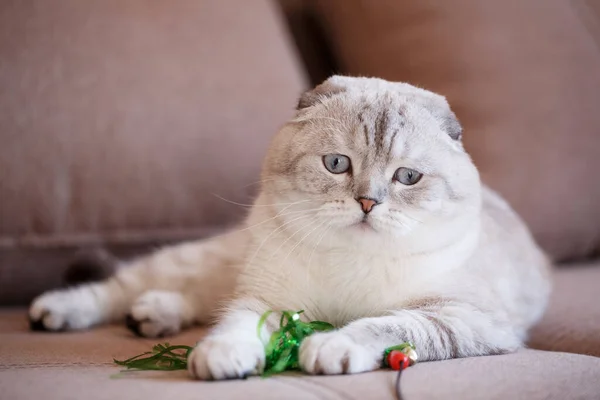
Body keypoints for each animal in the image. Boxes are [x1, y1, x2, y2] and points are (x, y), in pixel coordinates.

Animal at [30, 76, 552, 382]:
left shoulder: (462, 317)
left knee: (192, 300)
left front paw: (331, 345)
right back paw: (58, 312)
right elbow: (237, 325)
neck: (351, 263)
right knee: (122, 289)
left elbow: (384, 324)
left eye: (408, 177)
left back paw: (151, 315)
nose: (368, 202)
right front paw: (223, 357)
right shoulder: (270, 300)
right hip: (206, 260)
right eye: (337, 164)